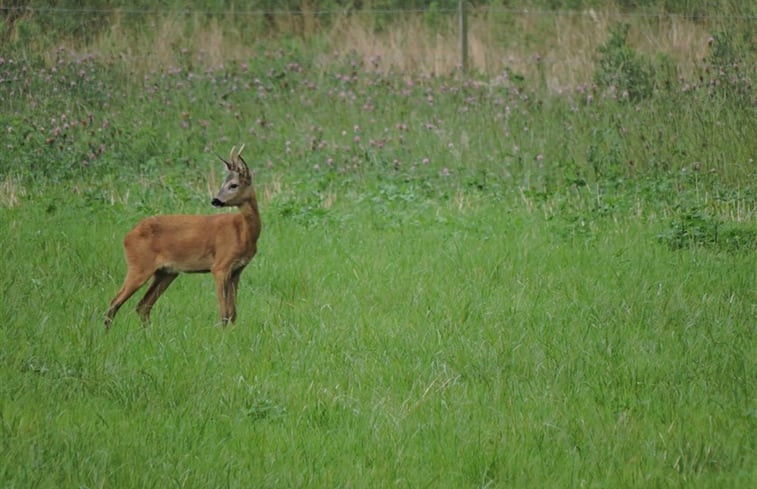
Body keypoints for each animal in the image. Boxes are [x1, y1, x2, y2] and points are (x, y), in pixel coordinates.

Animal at [105, 145, 262, 328]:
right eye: (223, 183)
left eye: (233, 185)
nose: (215, 200)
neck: (243, 233)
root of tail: (128, 236)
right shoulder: (220, 266)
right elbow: (224, 313)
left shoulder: (237, 270)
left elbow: (233, 313)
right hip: (139, 266)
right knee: (115, 302)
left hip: (166, 272)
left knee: (143, 305)